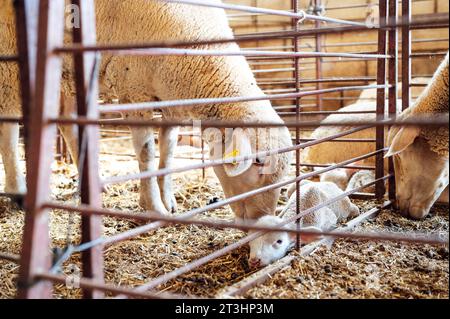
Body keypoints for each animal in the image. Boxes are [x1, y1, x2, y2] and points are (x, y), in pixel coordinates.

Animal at [0, 0, 296, 220]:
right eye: (258, 163)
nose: (262, 221)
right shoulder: (134, 90)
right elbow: (146, 151)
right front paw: (153, 207)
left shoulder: (169, 99)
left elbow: (168, 150)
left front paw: (169, 200)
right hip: (9, 57)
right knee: (9, 124)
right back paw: (18, 191)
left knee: (66, 121)